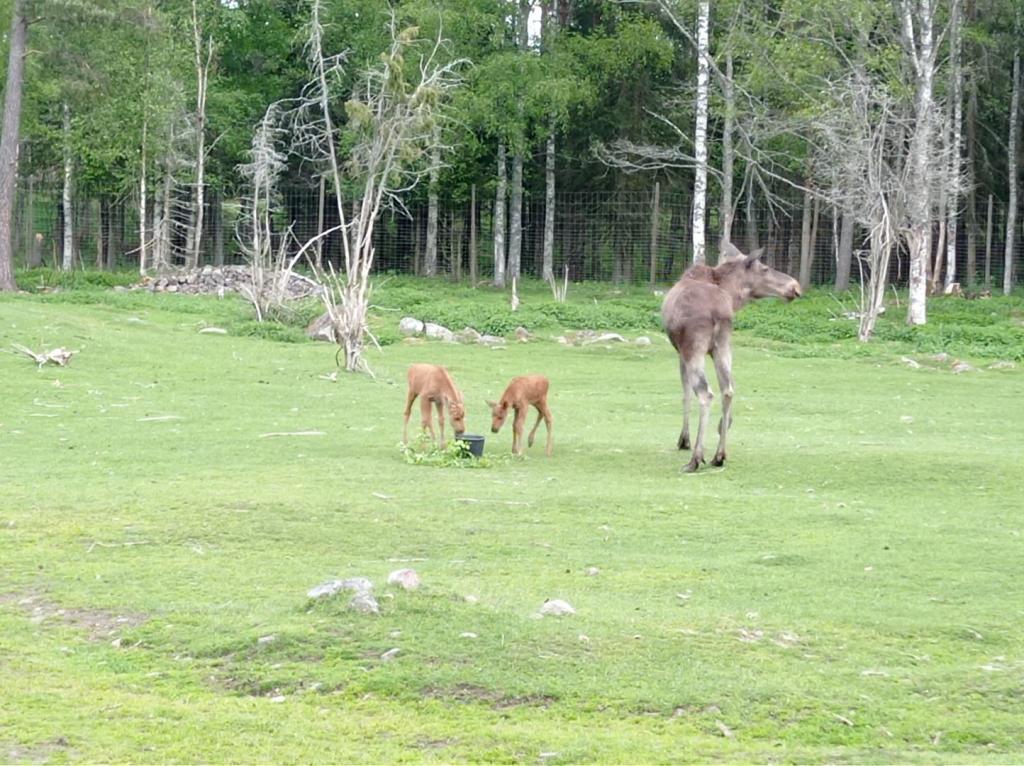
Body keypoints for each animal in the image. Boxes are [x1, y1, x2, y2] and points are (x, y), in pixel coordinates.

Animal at [659, 243, 802, 473]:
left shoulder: (680, 352)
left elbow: (685, 394)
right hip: (723, 345)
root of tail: (718, 312)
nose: (795, 287)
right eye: (765, 268)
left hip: (694, 348)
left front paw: (684, 440)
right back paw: (719, 455)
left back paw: (696, 458)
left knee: (706, 394)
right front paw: (723, 425)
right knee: (727, 390)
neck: (731, 294)